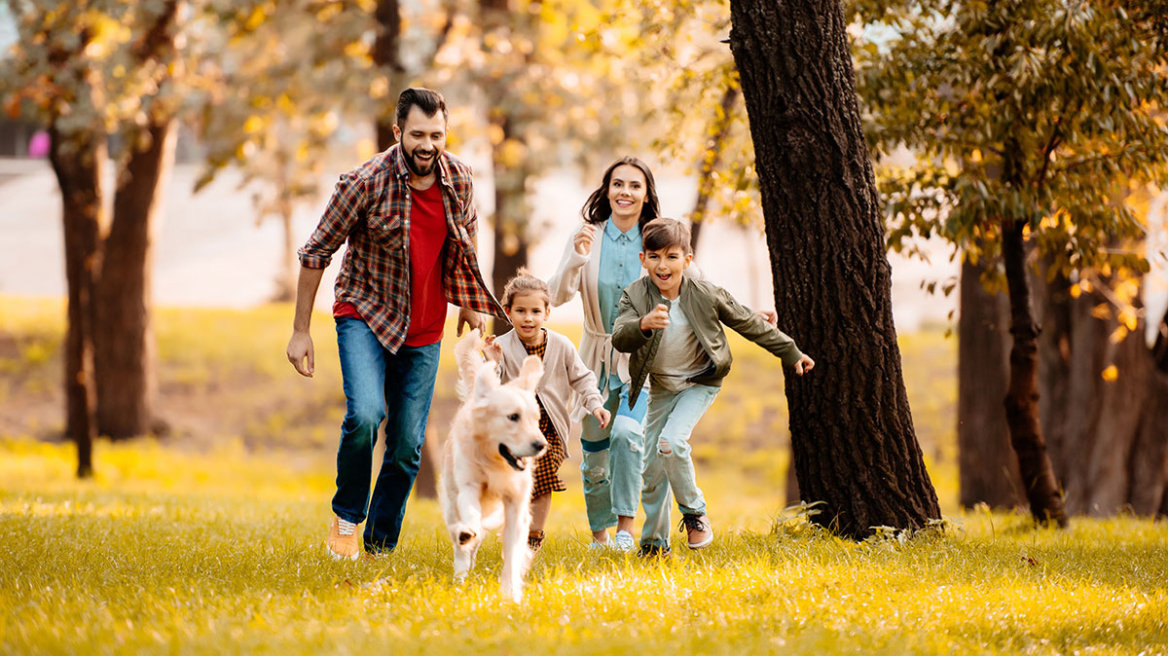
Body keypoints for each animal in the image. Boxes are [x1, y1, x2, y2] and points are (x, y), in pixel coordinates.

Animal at [439, 329, 548, 602]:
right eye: (512, 417)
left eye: (536, 419)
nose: (541, 445)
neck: (494, 463)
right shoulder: (469, 487)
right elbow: (470, 518)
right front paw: (467, 534)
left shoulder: (516, 503)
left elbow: (513, 552)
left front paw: (510, 594)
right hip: (450, 499)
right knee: (461, 542)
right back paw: (460, 575)